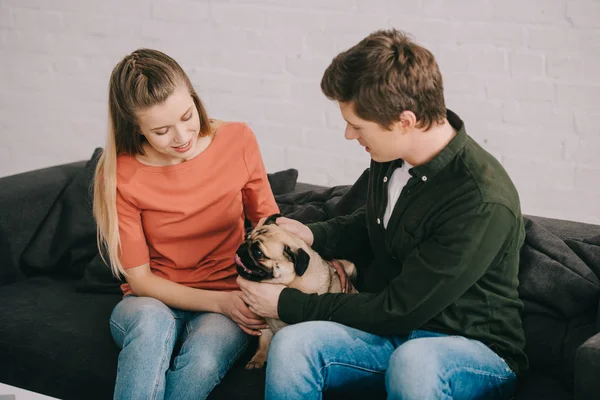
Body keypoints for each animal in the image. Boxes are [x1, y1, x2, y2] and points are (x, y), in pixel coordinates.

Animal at [234, 212, 356, 368]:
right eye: (245, 237)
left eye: (258, 252)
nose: (242, 247)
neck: (289, 282)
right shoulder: (264, 324)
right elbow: (263, 342)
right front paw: (257, 359)